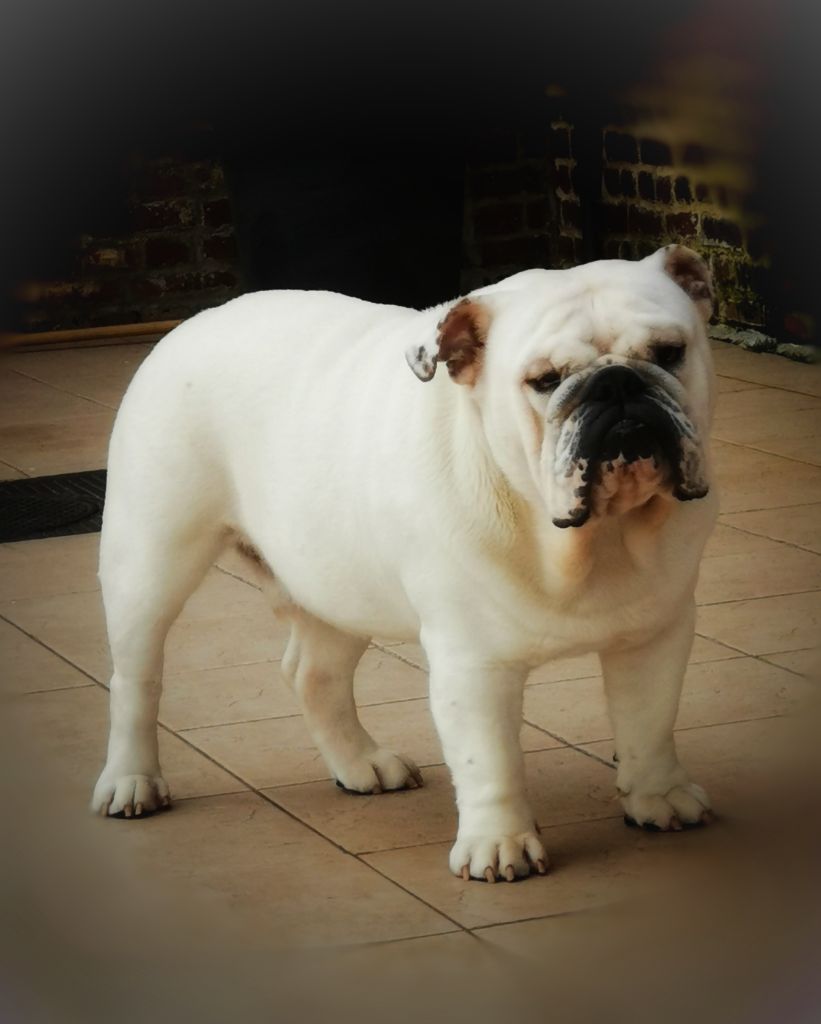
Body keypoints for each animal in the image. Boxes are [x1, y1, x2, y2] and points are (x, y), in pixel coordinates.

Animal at [92, 244, 718, 881]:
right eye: (544, 381)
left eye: (670, 353)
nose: (618, 384)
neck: (589, 539)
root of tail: (194, 322)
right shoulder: (472, 664)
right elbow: (490, 759)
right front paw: (501, 845)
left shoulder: (657, 634)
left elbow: (648, 721)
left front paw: (658, 798)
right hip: (150, 563)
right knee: (137, 678)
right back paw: (132, 782)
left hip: (337, 582)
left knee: (315, 674)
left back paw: (360, 764)